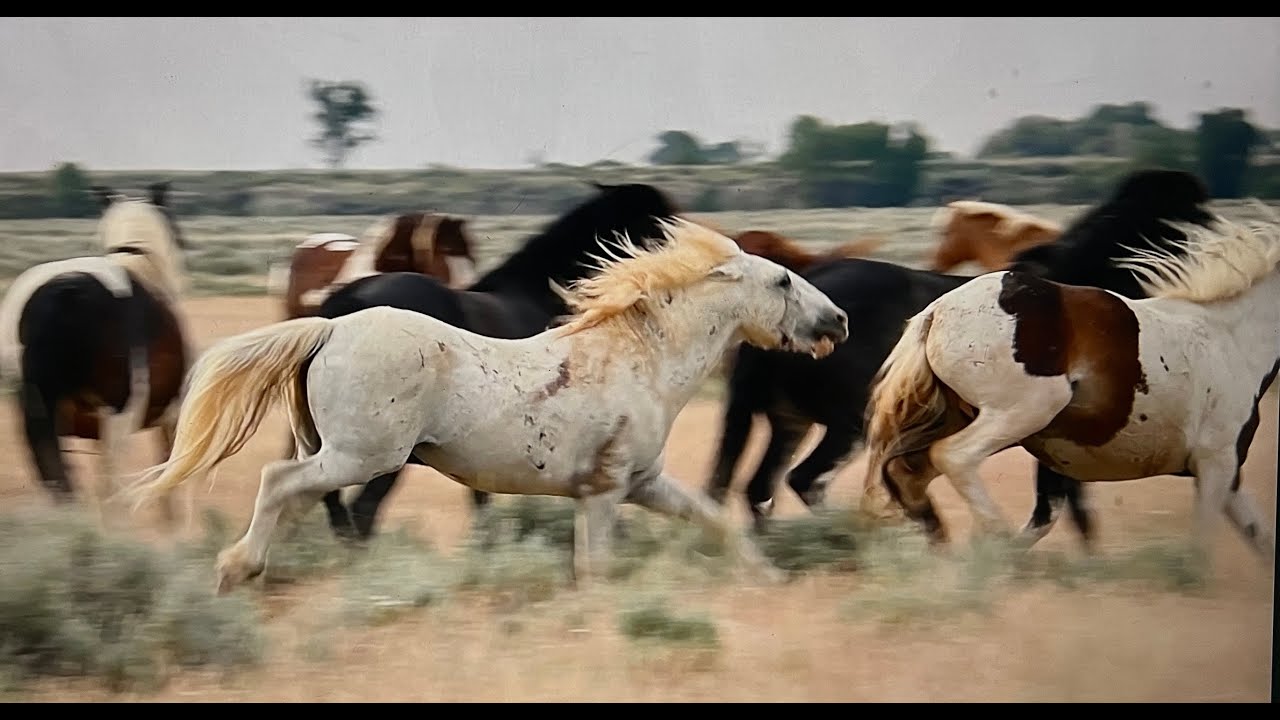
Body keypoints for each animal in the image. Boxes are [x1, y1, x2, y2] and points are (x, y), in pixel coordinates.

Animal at [0, 182, 194, 531]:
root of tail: (63, 291)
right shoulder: (170, 419)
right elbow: (167, 485)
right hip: (117, 419)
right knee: (111, 489)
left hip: (39, 414)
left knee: (58, 479)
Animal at [860, 208, 1279, 575]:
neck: (1233, 339)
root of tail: (935, 314)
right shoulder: (1215, 461)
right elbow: (1201, 547)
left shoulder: (1226, 471)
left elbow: (1259, 536)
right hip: (1026, 410)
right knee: (953, 457)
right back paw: (992, 537)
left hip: (965, 418)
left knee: (908, 473)